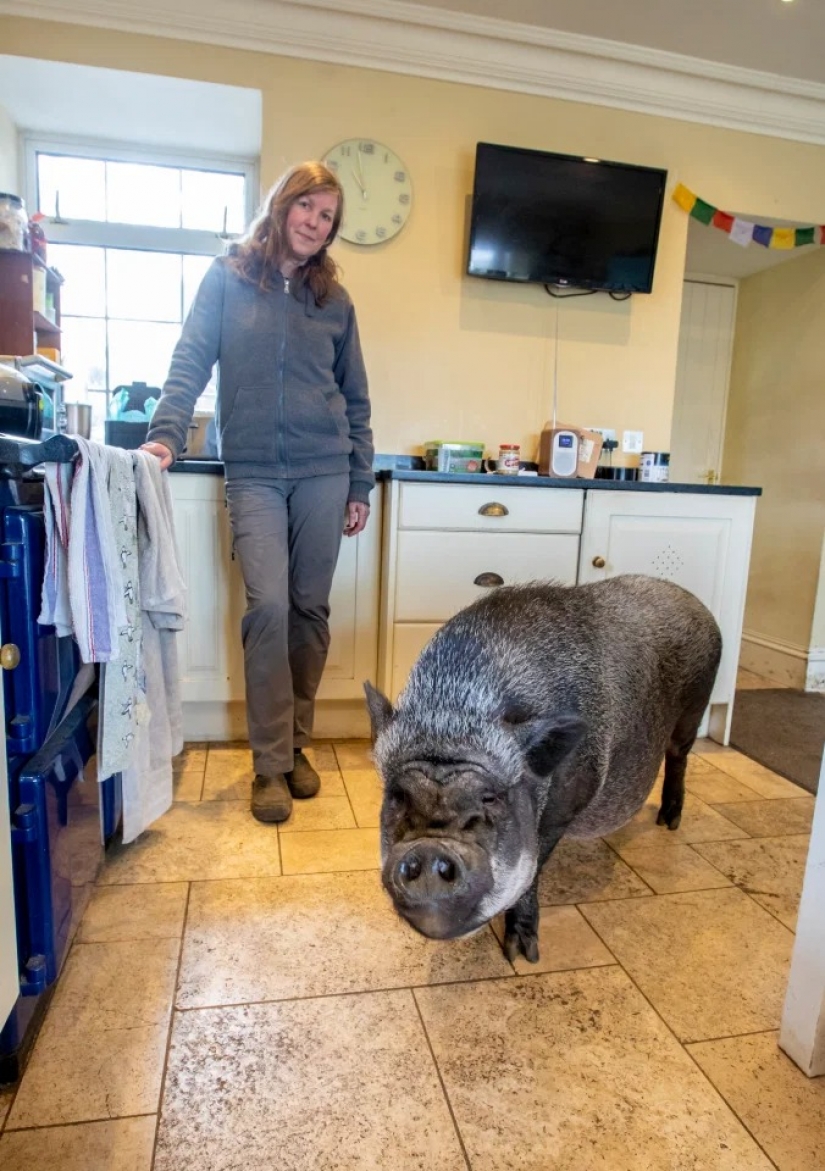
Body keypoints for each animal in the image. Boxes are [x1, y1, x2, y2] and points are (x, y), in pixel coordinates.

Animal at [364, 574, 722, 963]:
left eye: (491, 798)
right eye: (397, 796)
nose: (430, 849)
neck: (453, 718)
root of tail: (694, 602)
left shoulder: (564, 806)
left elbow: (533, 871)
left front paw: (521, 956)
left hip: (694, 709)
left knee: (679, 755)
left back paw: (669, 822)